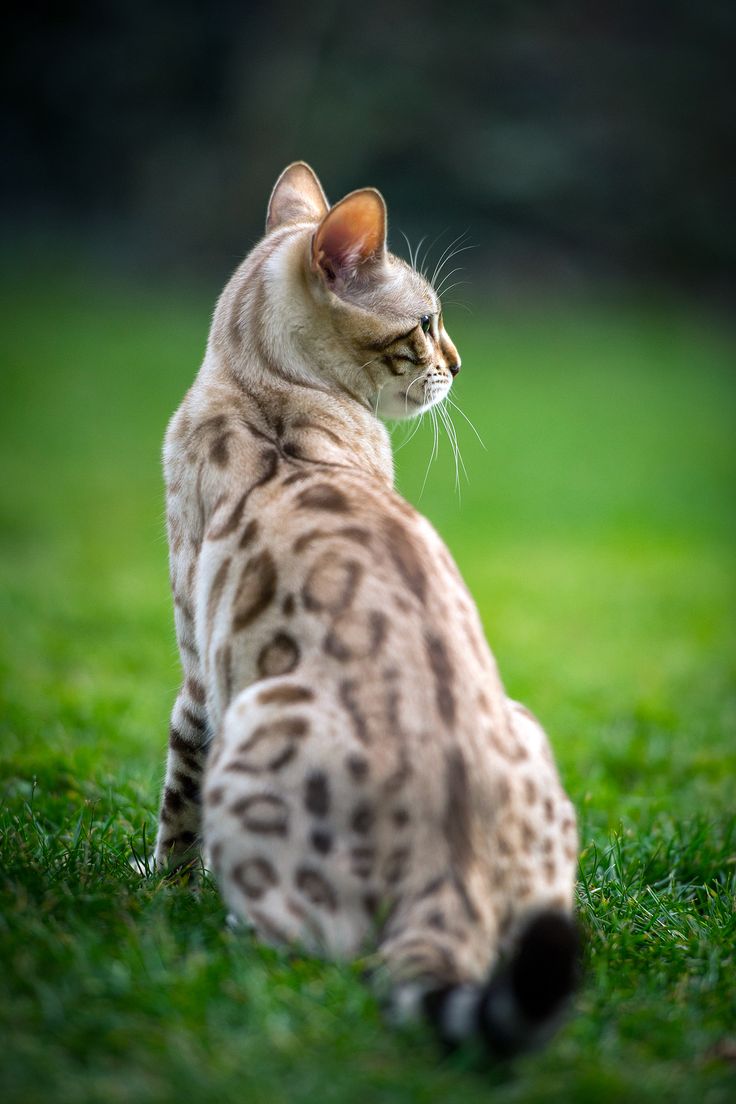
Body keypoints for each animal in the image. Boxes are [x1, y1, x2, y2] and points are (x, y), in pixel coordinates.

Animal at [156, 161, 582, 1051]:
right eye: (426, 322)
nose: (460, 362)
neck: (264, 390)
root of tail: (450, 869)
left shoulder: (197, 677)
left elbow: (176, 807)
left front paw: (159, 886)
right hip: (525, 730)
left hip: (255, 721)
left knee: (315, 951)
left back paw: (226, 929)